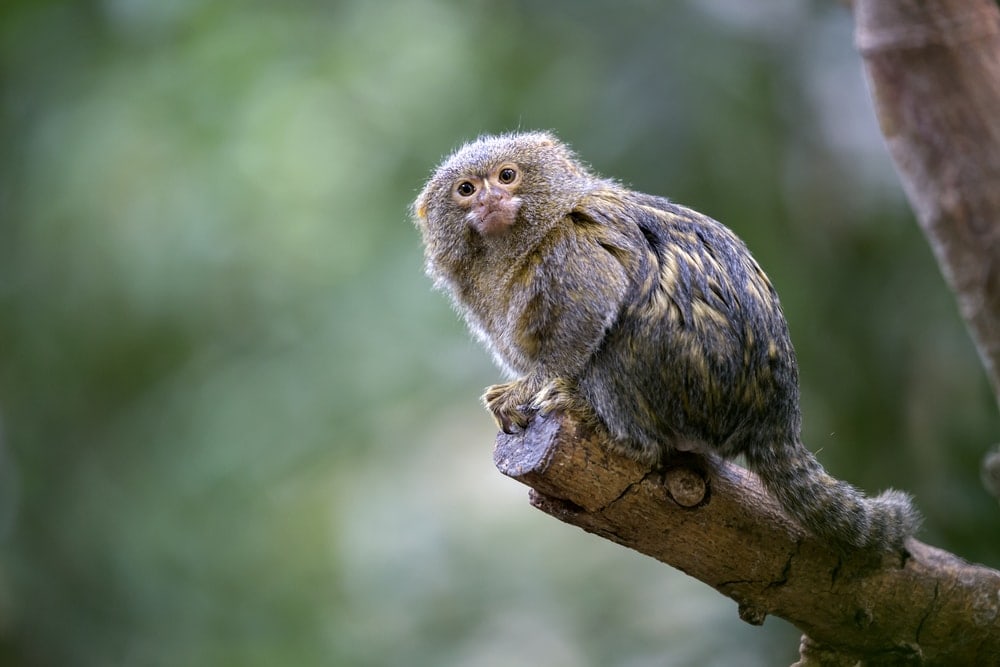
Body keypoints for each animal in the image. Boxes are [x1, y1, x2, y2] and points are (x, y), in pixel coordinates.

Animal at [412, 131, 920, 553]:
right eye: (466, 189)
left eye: (507, 175)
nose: (491, 198)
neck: (521, 243)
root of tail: (775, 415)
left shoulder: (574, 245)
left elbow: (586, 316)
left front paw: (529, 389)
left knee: (622, 342)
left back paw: (611, 430)